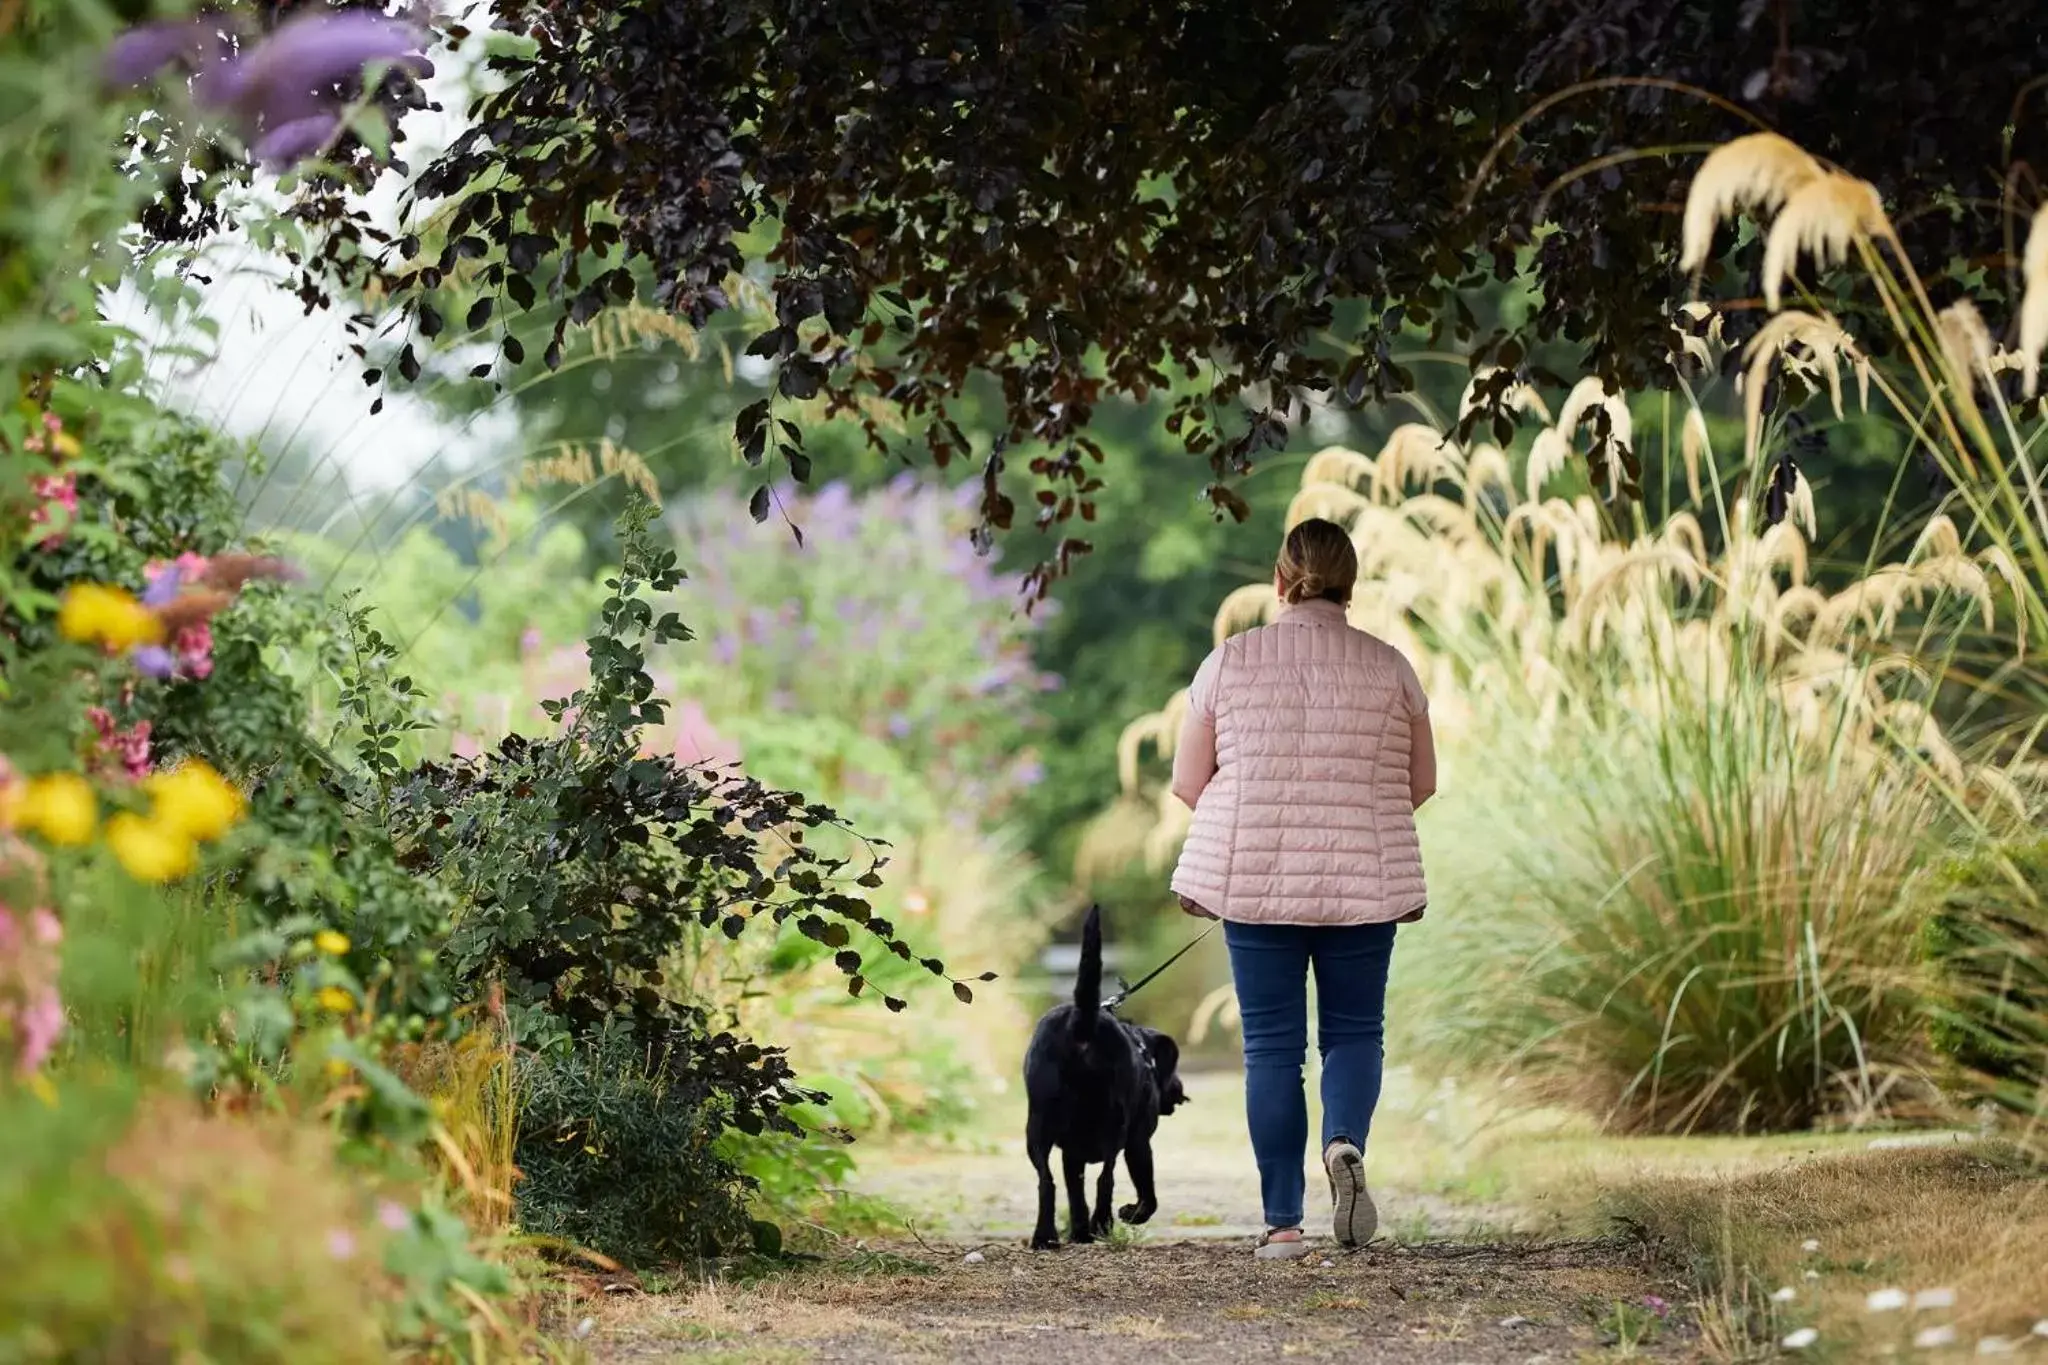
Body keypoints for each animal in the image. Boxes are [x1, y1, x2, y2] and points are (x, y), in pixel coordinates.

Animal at [1019, 900, 1187, 1252]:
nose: (1180, 1089)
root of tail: (1082, 1023)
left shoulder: (1070, 1154)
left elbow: (1074, 1191)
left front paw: (1079, 1231)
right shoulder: (1139, 1141)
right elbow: (1147, 1192)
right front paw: (1131, 1213)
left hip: (1037, 1127)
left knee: (1047, 1182)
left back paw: (1048, 1236)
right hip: (1117, 1125)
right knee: (1105, 1178)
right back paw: (1102, 1225)